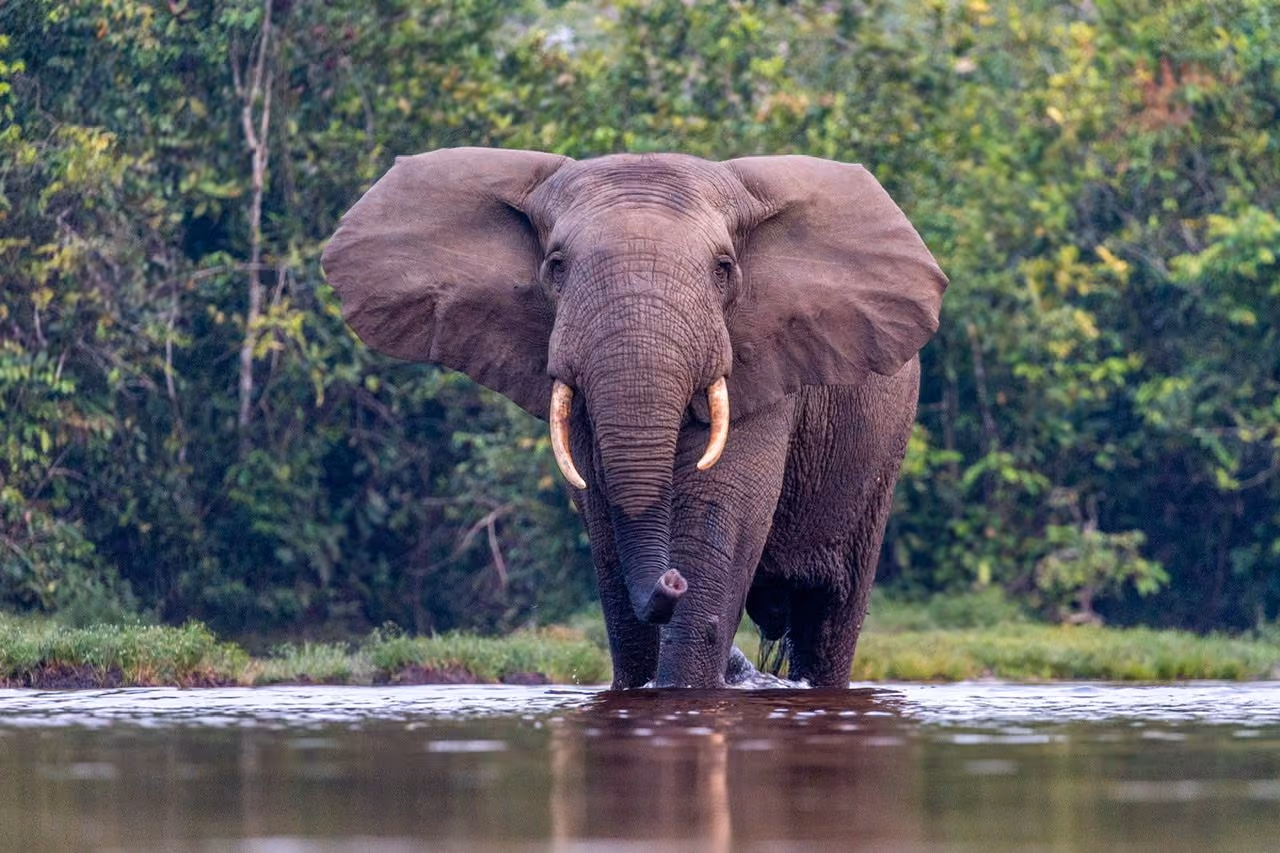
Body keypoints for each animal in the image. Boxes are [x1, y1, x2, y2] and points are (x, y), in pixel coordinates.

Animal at [322, 147, 947, 689]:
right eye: (556, 266)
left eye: (724, 269)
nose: (671, 579)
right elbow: (604, 522)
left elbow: (721, 514)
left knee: (831, 615)